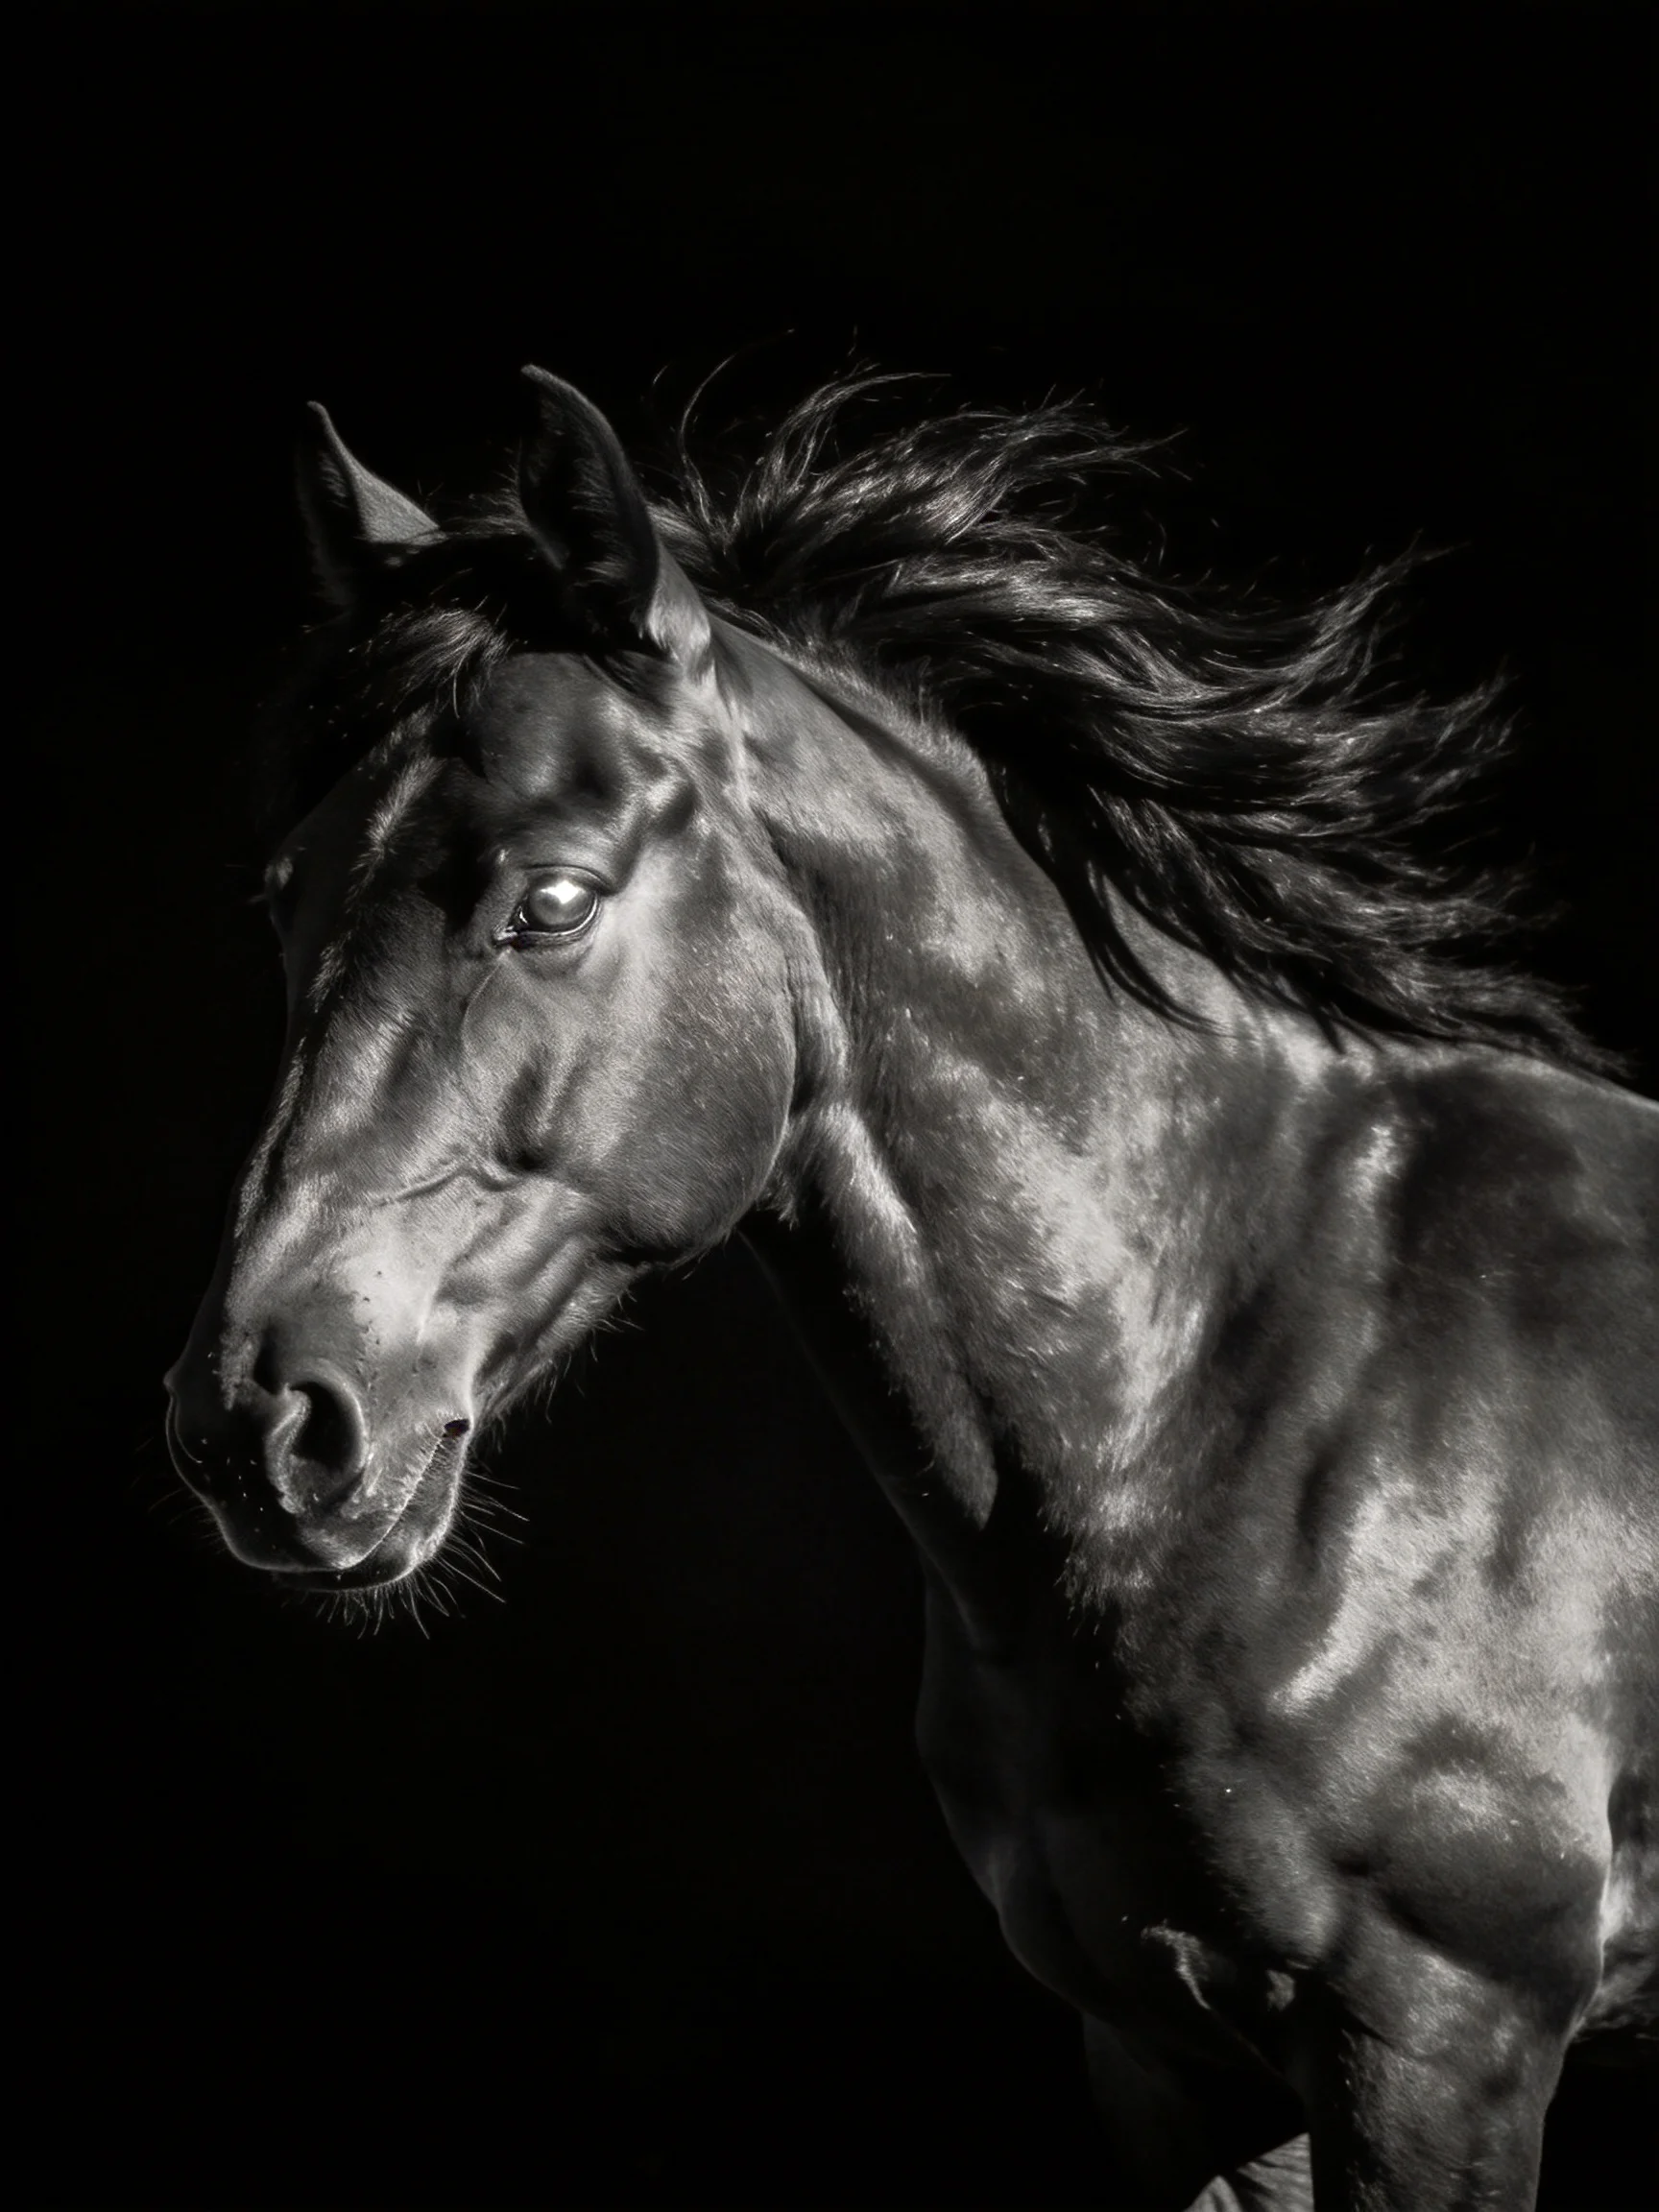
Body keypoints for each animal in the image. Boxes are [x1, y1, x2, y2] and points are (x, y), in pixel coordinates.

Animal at [166, 367, 1657, 2210]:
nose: (258, 1418)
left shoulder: (1441, 2050)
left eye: (553, 895)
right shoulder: (1176, 2059)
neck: (1254, 1385)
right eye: (285, 895)